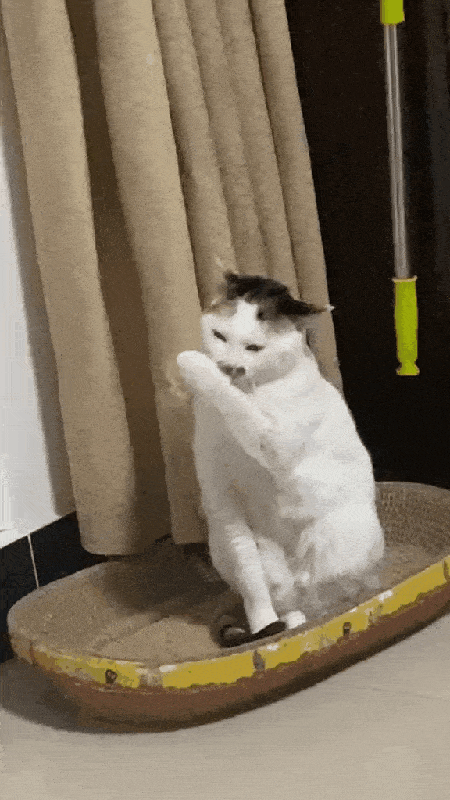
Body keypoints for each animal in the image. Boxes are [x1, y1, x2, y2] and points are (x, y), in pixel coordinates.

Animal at [177, 272, 384, 647]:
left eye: (254, 348)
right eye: (219, 336)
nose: (227, 366)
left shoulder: (272, 441)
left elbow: (238, 405)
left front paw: (193, 364)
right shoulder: (222, 501)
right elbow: (251, 581)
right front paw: (263, 627)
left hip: (340, 534)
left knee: (334, 600)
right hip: (225, 546)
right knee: (287, 602)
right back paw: (286, 621)